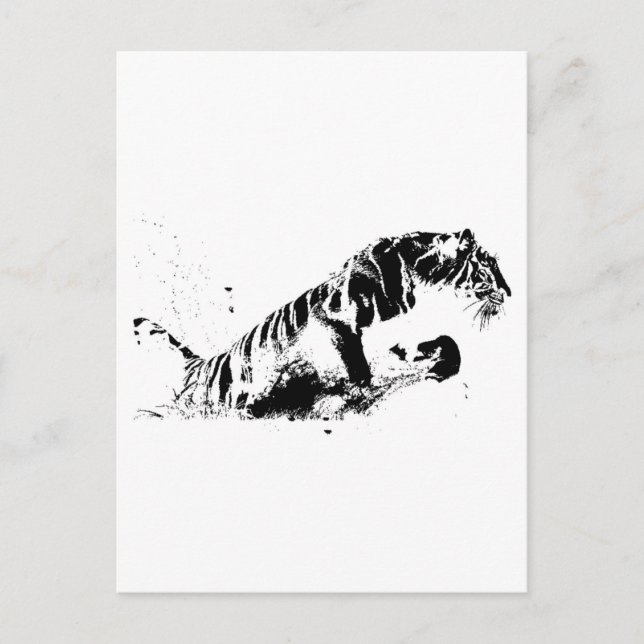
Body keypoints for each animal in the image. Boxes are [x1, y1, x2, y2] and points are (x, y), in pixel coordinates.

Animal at [133, 228, 511, 418]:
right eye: (489, 265)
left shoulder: (404, 338)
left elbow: (448, 344)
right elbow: (354, 363)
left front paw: (442, 367)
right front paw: (352, 392)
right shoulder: (335, 320)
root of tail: (197, 366)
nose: (508, 292)